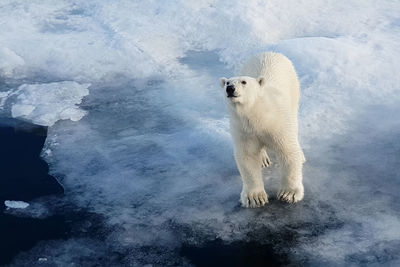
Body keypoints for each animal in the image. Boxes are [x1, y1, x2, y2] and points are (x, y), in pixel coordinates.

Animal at [220, 51, 304, 207]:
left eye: (244, 82)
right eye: (227, 82)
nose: (230, 89)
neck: (259, 115)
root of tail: (270, 52)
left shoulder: (278, 124)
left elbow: (288, 151)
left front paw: (289, 194)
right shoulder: (244, 130)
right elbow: (248, 157)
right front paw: (255, 198)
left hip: (294, 89)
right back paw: (264, 159)